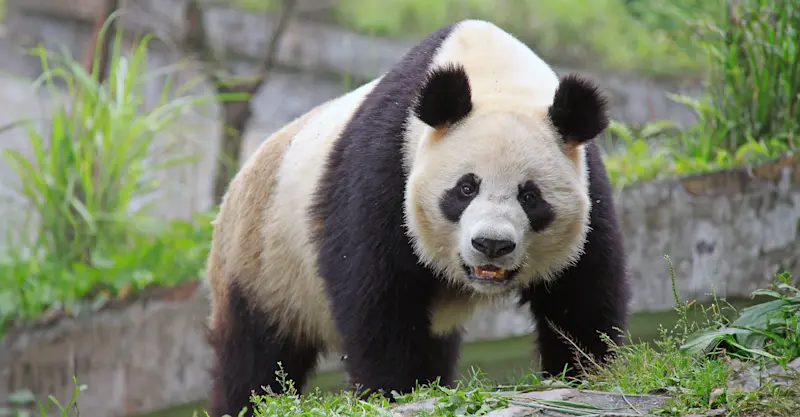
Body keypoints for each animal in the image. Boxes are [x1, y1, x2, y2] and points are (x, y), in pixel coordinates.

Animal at [205, 19, 630, 417]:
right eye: (465, 188)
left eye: (530, 197)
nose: (491, 245)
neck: (495, 77)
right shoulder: (386, 165)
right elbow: (376, 294)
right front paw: (395, 389)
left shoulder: (587, 184)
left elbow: (581, 291)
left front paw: (581, 372)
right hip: (264, 261)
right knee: (256, 357)